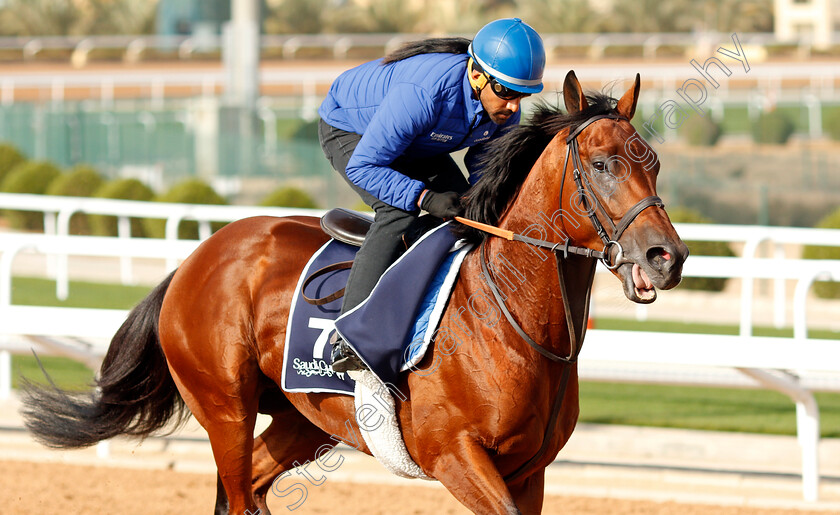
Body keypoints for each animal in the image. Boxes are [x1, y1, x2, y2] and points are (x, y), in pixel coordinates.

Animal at [21, 69, 688, 515]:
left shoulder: (529, 471)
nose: (667, 257)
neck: (511, 321)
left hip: (303, 419)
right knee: (237, 490)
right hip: (225, 406)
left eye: (652, 162)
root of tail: (198, 257)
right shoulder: (455, 455)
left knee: (254, 487)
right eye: (601, 165)